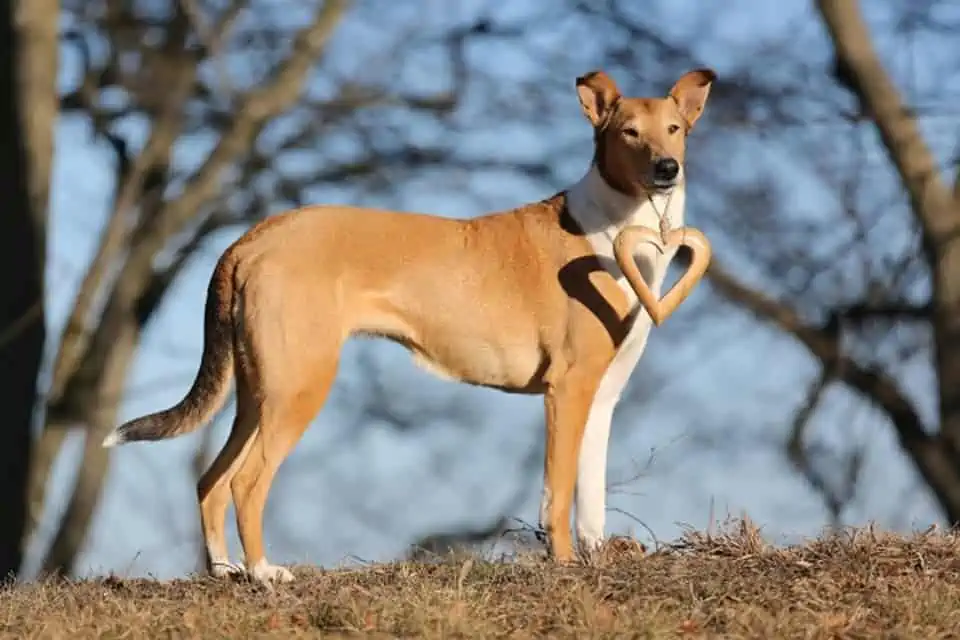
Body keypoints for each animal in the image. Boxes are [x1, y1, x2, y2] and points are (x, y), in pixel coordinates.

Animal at [103, 67, 712, 584]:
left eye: (675, 129)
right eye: (629, 132)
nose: (667, 169)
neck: (617, 228)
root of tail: (250, 239)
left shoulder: (602, 395)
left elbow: (591, 495)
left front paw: (593, 559)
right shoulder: (567, 389)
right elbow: (558, 493)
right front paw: (562, 567)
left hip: (259, 390)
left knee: (212, 480)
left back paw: (225, 571)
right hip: (299, 386)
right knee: (247, 481)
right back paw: (264, 572)